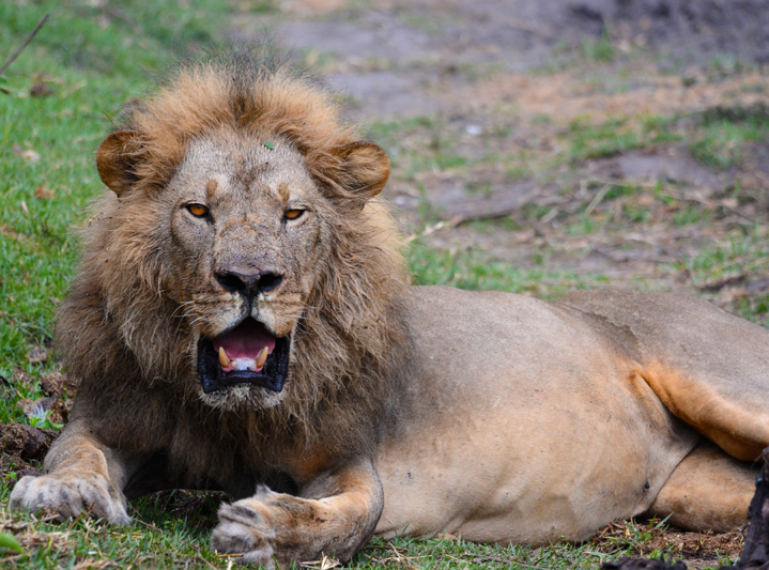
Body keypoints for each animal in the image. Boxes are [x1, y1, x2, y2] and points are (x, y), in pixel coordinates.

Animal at [10, 56, 768, 564]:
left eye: (293, 213)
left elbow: (356, 513)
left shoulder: (350, 454)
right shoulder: (115, 412)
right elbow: (70, 450)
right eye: (198, 210)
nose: (249, 278)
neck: (231, 417)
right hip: (694, 491)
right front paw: (62, 496)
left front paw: (265, 530)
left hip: (722, 386)